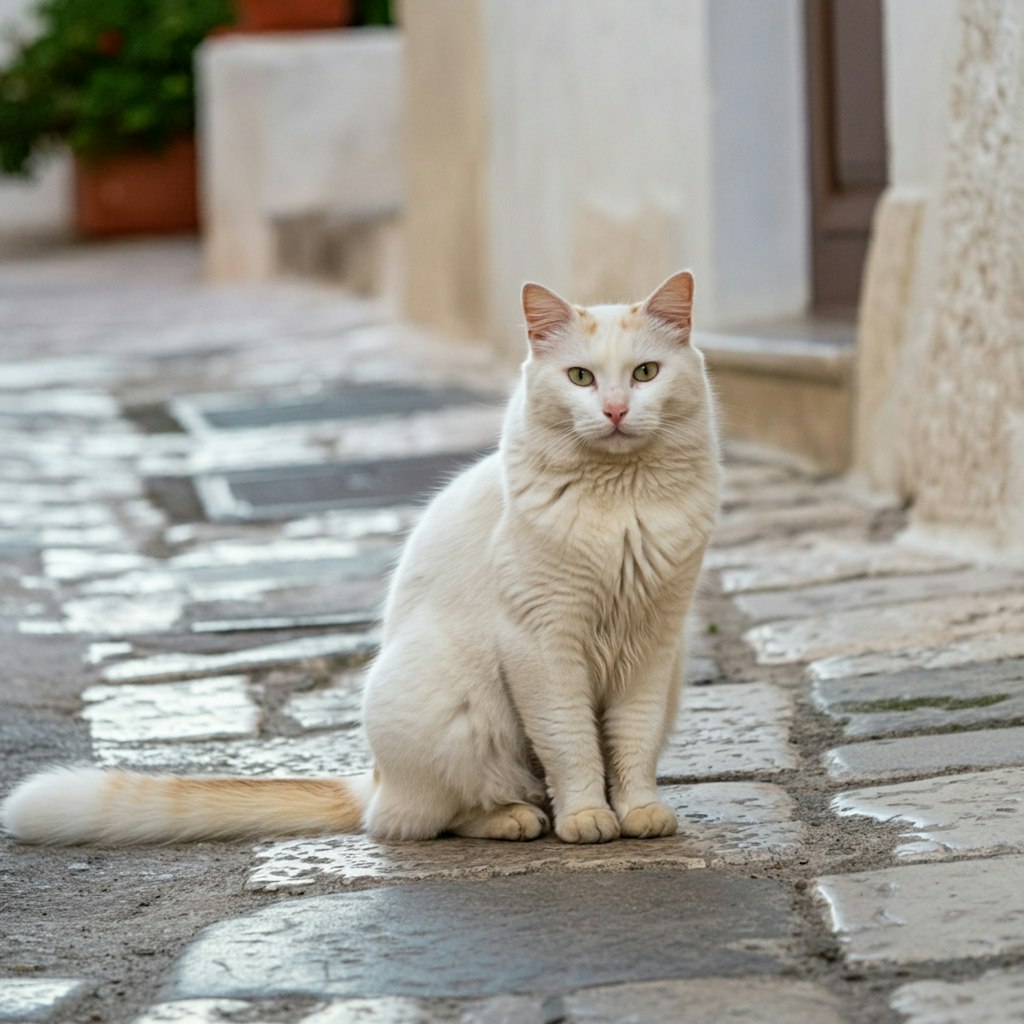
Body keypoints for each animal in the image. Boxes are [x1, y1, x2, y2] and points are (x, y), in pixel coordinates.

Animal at [2, 268, 720, 843]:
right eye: (580, 377)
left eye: (645, 373)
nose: (617, 409)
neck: (620, 506)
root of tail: (372, 777)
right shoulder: (545, 644)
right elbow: (573, 747)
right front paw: (587, 817)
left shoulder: (654, 643)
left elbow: (629, 744)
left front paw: (638, 811)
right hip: (457, 705)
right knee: (423, 818)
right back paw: (517, 819)